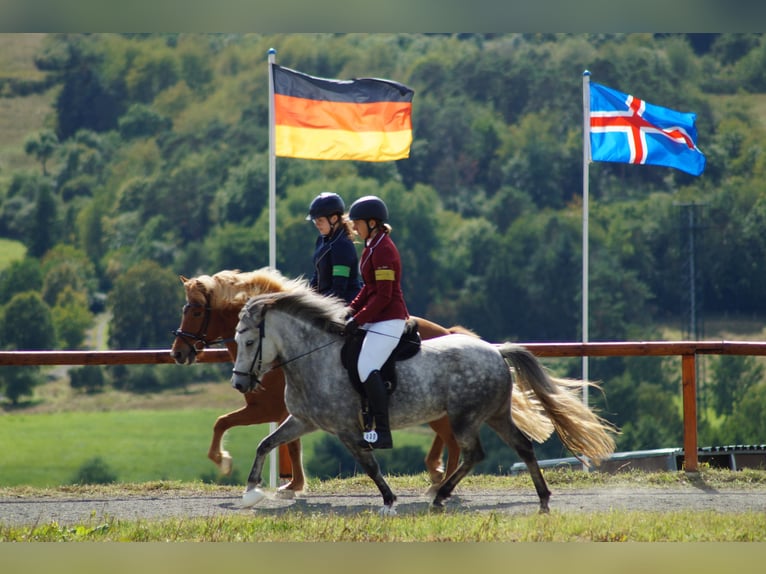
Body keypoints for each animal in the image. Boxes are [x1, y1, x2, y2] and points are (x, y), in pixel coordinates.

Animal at [170, 268, 479, 495]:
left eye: (195, 311)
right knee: (446, 437)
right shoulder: (291, 412)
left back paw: (441, 482)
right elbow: (287, 444)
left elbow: (221, 422)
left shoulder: (265, 409)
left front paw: (222, 461)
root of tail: (447, 331)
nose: (177, 353)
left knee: (450, 438)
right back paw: (437, 474)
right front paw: (293, 485)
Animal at [230, 285, 618, 513]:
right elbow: (266, 443)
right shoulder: (303, 420)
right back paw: (542, 500)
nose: (238, 383)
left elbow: (370, 465)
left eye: (249, 342)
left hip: (465, 418)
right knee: (522, 446)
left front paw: (389, 502)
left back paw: (441, 495)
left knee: (474, 453)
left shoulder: (346, 430)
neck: (314, 357)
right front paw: (250, 492)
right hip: (495, 415)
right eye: (236, 341)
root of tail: (495, 351)